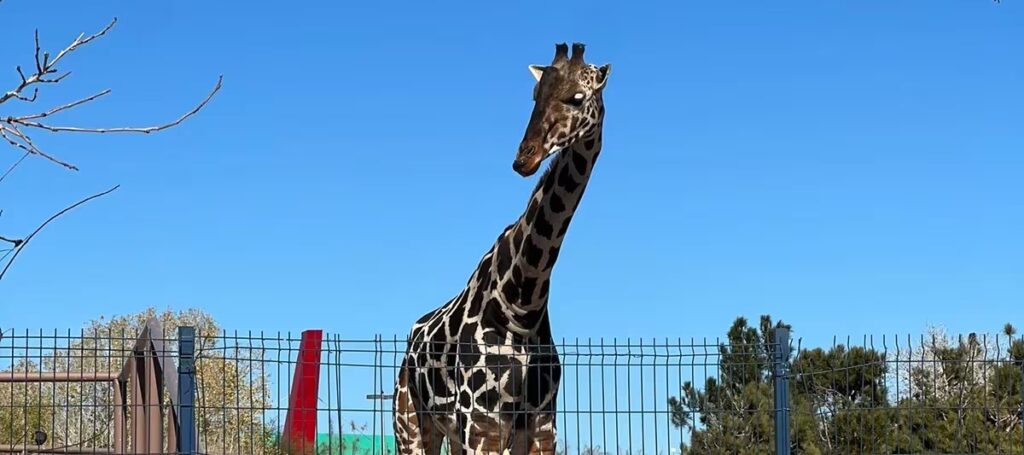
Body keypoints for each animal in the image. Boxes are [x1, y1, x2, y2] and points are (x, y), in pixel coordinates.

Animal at [394, 42, 611, 455]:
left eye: (576, 97)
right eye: (535, 95)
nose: (524, 158)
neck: (522, 304)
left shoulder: (541, 429)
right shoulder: (481, 426)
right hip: (410, 422)